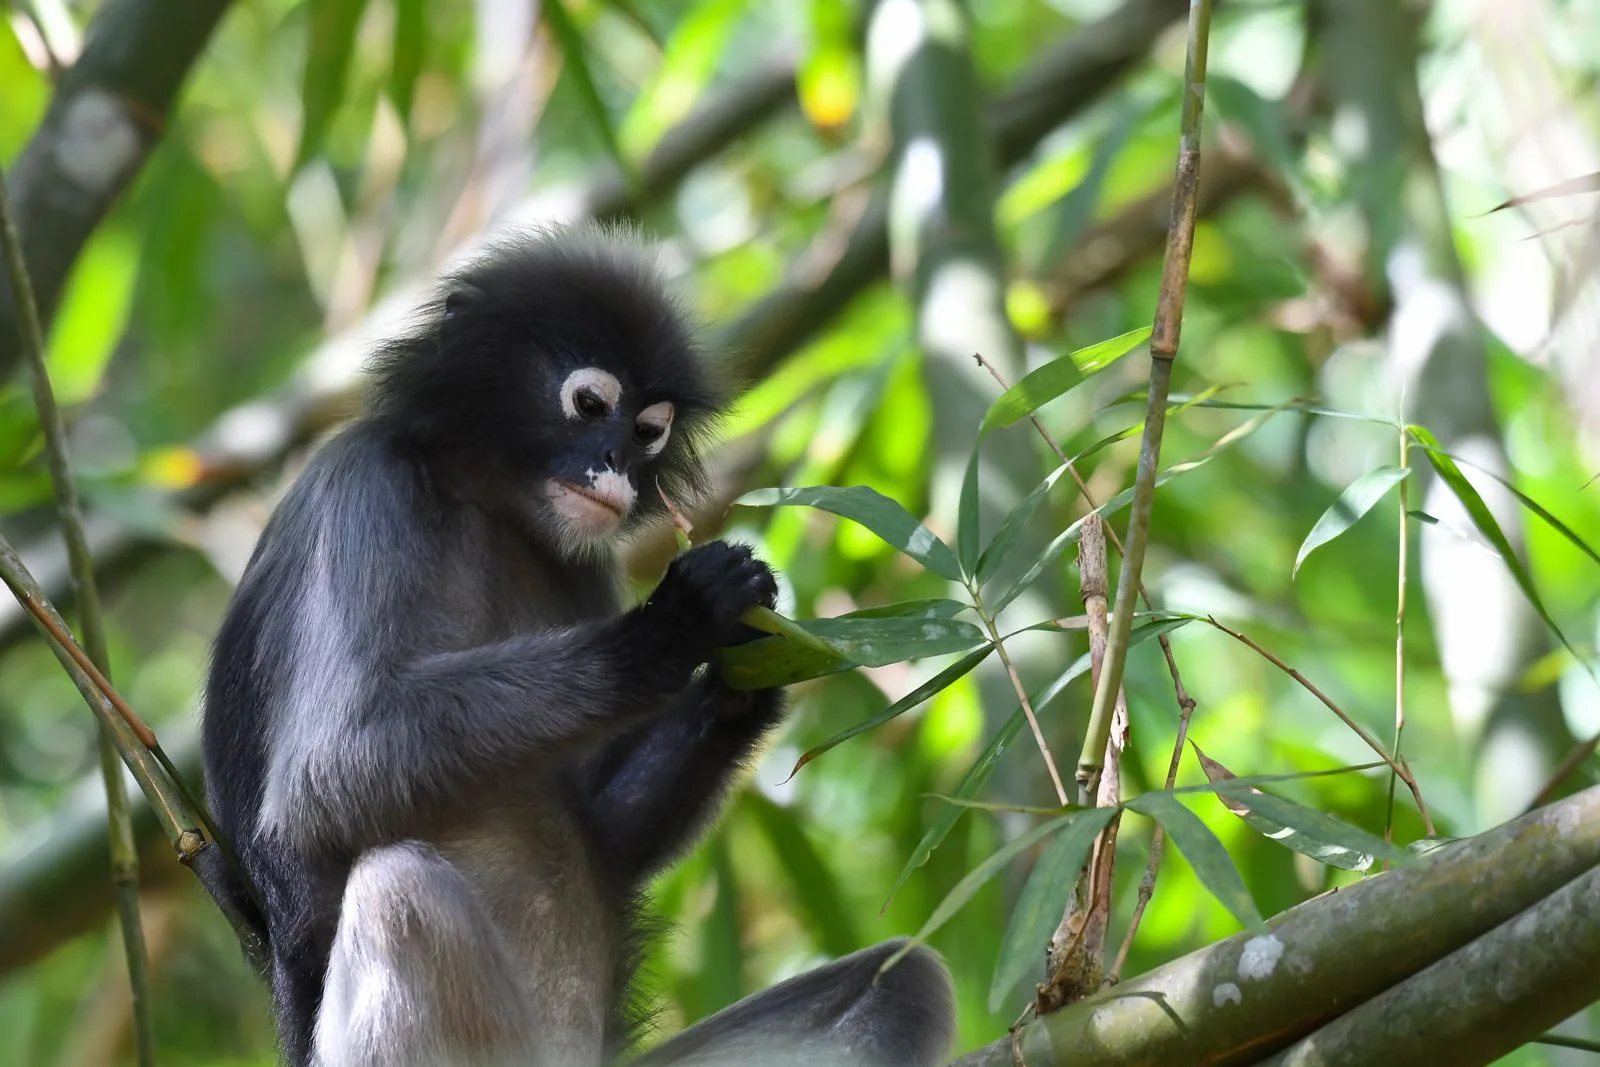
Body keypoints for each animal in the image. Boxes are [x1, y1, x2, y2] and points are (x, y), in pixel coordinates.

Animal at [199, 225, 956, 1067]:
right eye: (589, 404)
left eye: (648, 431)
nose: (617, 464)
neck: (489, 505)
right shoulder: (364, 488)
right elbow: (324, 768)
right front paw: (671, 629)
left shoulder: (581, 563)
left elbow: (607, 824)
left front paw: (746, 671)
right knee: (403, 892)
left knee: (907, 976)